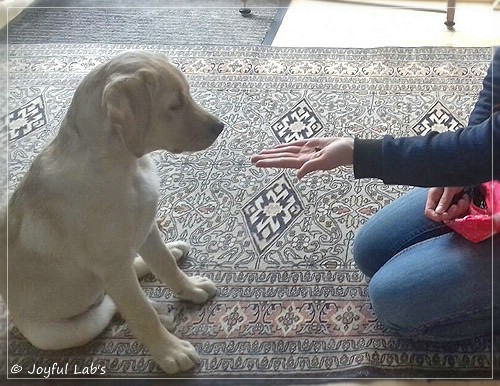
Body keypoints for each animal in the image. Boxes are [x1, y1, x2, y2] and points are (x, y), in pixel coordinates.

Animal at [0, 51, 223, 374]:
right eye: (174, 105)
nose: (220, 127)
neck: (125, 165)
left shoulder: (146, 226)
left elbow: (165, 264)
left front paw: (190, 288)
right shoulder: (111, 266)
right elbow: (140, 313)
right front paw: (170, 351)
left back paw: (172, 254)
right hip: (63, 331)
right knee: (114, 304)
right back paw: (159, 311)